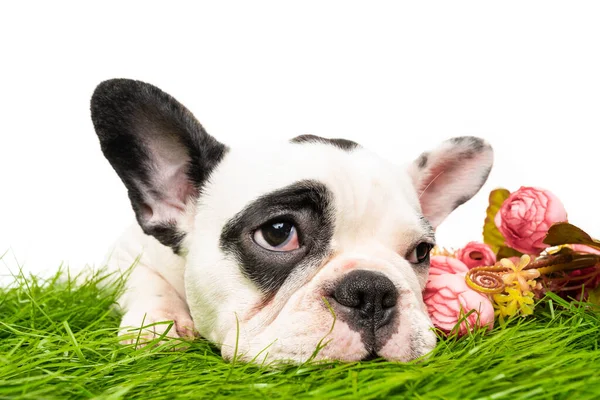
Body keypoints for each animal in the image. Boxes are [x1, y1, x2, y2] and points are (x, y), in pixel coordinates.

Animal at [90, 79, 492, 364]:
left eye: (421, 252)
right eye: (277, 233)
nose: (372, 290)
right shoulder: (126, 255)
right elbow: (146, 281)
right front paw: (159, 325)